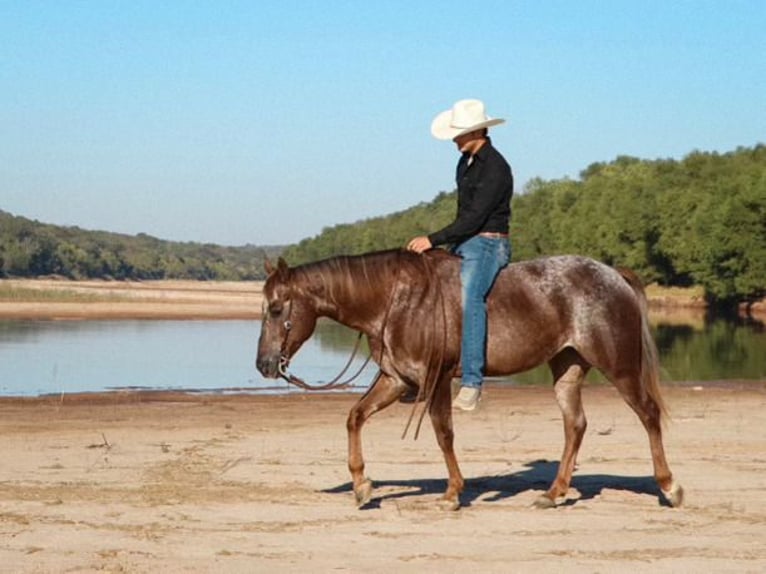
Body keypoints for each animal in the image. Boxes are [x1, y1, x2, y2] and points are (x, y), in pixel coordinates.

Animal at [255, 250, 688, 510]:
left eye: (276, 309)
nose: (263, 364)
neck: (397, 302)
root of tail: (614, 275)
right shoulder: (396, 380)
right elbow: (355, 417)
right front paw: (362, 485)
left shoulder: (436, 379)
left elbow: (443, 432)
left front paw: (451, 492)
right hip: (567, 367)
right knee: (575, 425)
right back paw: (554, 492)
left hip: (620, 367)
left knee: (648, 414)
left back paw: (669, 487)